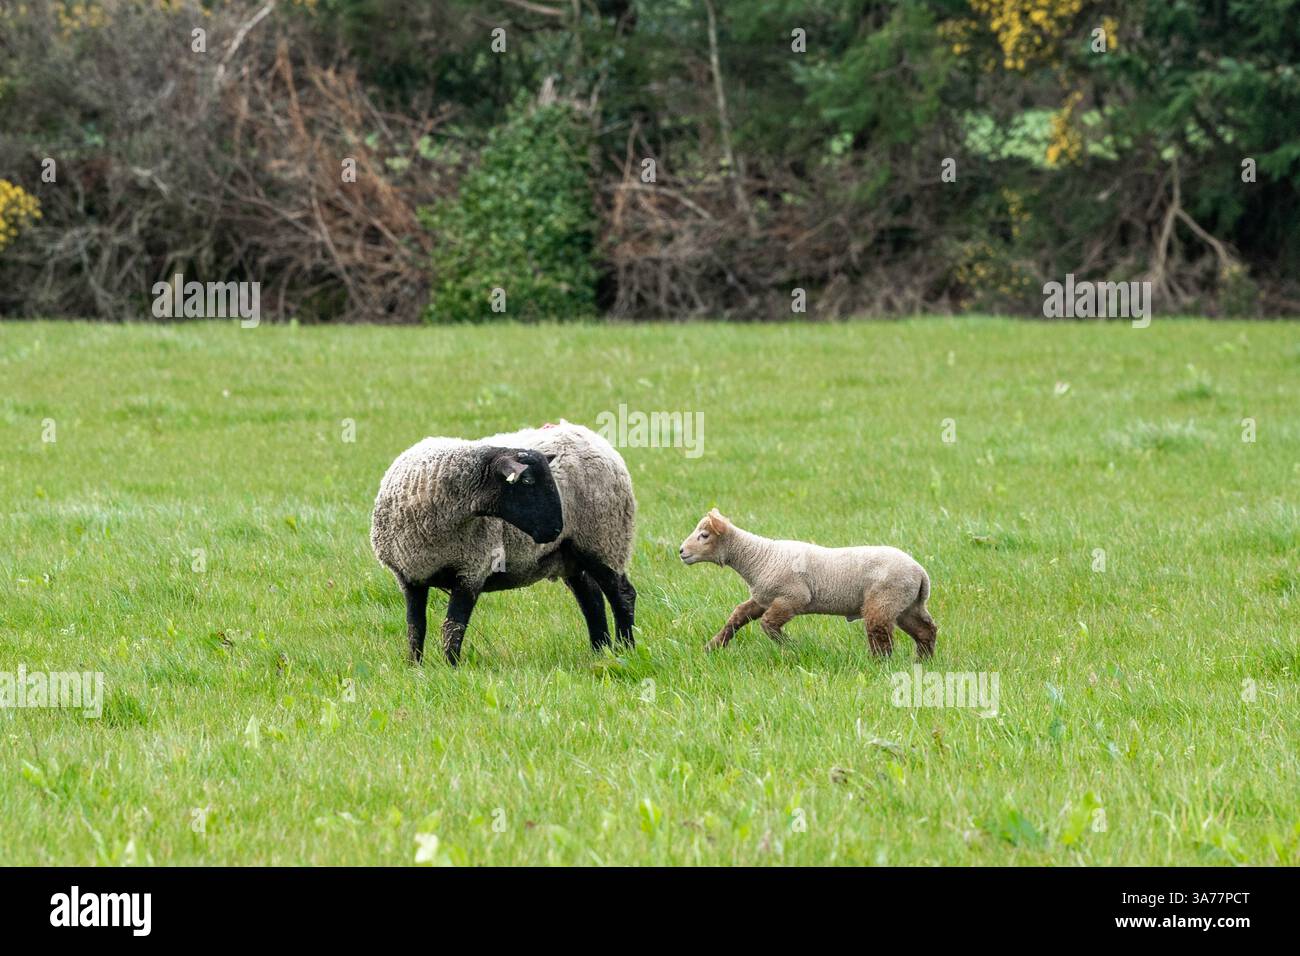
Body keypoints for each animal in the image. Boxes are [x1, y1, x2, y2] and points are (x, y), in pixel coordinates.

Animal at [371, 421, 637, 665]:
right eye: (527, 481)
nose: (555, 529)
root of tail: (591, 436)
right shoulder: (408, 576)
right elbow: (415, 627)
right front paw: (415, 666)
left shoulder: (471, 570)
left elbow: (453, 626)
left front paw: (450, 667)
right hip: (569, 554)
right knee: (591, 598)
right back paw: (599, 652)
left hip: (604, 541)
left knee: (623, 595)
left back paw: (626, 650)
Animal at [679, 508, 937, 659]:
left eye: (704, 535)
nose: (681, 552)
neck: (759, 557)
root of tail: (920, 572)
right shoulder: (764, 598)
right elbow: (738, 617)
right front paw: (712, 647)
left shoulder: (793, 597)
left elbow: (768, 625)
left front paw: (792, 647)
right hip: (906, 605)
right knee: (926, 630)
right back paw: (923, 661)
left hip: (884, 599)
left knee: (881, 634)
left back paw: (880, 665)